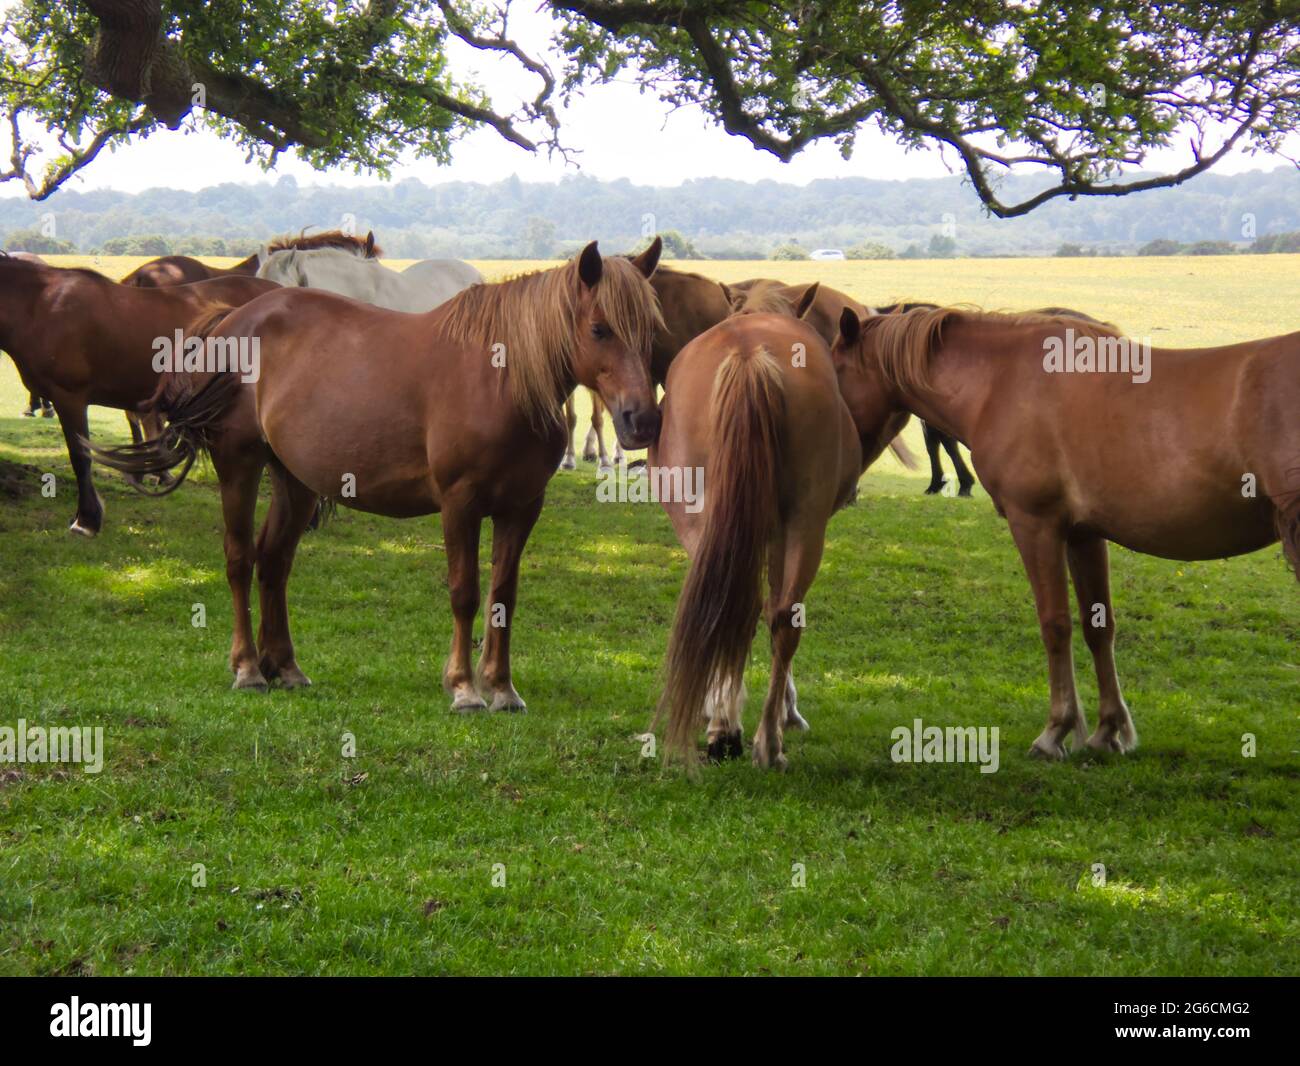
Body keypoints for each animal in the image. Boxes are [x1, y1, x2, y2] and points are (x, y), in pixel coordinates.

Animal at [92, 243, 665, 707]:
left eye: (652, 332)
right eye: (599, 329)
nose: (642, 421)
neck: (502, 378)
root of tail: (236, 320)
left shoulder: (522, 507)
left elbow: (504, 596)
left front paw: (502, 688)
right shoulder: (459, 504)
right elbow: (465, 592)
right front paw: (464, 688)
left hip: (295, 481)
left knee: (273, 563)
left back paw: (286, 667)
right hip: (241, 464)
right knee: (239, 561)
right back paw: (249, 668)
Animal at [650, 283, 915, 764]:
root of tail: (748, 355)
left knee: (748, 607)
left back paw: (745, 733)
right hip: (801, 525)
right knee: (775, 614)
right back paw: (758, 737)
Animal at [832, 304, 1300, 764]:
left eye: (834, 369)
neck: (999, 383)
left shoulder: (1035, 525)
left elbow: (1055, 624)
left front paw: (1055, 731)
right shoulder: (1084, 535)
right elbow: (1098, 627)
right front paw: (1107, 731)